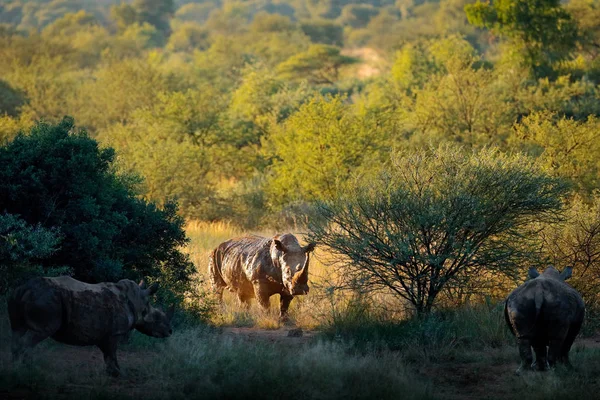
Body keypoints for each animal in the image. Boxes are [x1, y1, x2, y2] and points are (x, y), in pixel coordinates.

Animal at [9, 276, 173, 376]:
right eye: (157, 317)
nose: (170, 331)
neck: (138, 302)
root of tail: (25, 288)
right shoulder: (115, 333)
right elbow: (112, 354)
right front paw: (119, 374)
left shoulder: (106, 334)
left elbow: (108, 355)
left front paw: (113, 373)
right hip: (46, 299)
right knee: (37, 334)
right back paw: (26, 368)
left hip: (19, 295)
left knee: (17, 331)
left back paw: (15, 367)